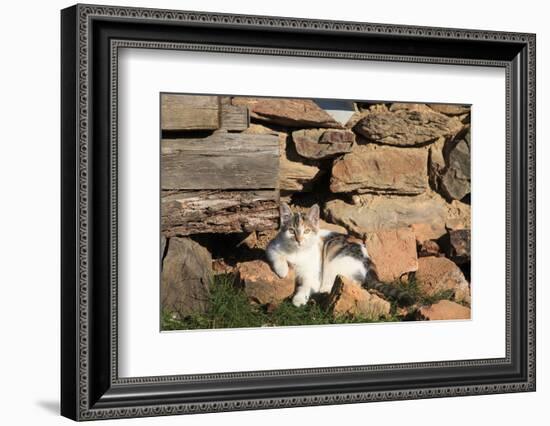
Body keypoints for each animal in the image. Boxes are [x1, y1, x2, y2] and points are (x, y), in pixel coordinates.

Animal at [268, 202, 414, 306]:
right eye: (292, 231)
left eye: (307, 231)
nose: (299, 240)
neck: (298, 252)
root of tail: (369, 262)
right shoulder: (272, 245)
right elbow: (276, 254)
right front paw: (282, 271)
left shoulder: (314, 275)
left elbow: (307, 285)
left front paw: (298, 299)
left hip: (335, 258)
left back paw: (323, 293)